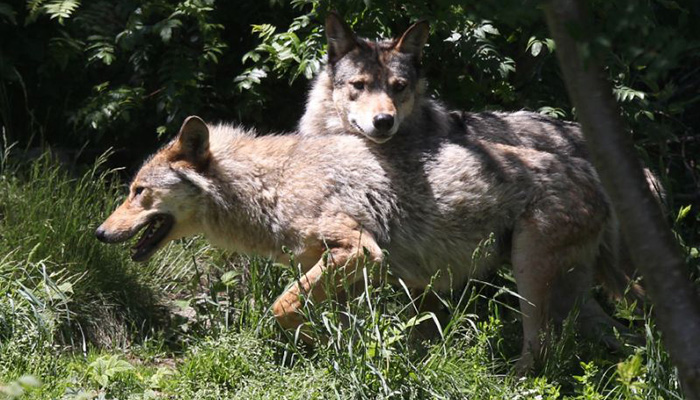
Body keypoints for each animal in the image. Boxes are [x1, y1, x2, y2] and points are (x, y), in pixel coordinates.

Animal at [96, 115, 627, 371]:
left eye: (138, 191)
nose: (99, 233)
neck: (274, 184)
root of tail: (595, 178)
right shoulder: (349, 270)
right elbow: (324, 318)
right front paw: (337, 350)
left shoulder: (360, 252)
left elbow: (280, 308)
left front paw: (316, 346)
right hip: (572, 296)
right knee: (616, 337)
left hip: (529, 282)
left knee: (543, 349)